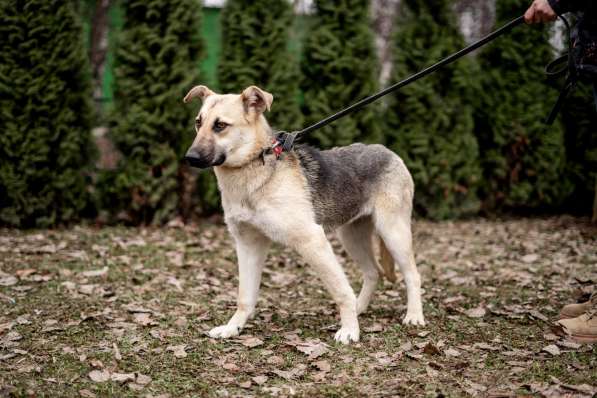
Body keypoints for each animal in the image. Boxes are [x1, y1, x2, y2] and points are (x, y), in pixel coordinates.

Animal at [182, 83, 424, 342]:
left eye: (220, 125)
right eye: (198, 122)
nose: (189, 158)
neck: (256, 166)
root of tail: (388, 151)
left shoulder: (312, 241)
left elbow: (341, 291)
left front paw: (350, 330)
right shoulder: (248, 245)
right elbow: (244, 297)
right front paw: (233, 327)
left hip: (393, 233)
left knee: (412, 275)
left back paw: (413, 315)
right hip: (351, 237)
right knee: (373, 272)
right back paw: (361, 308)